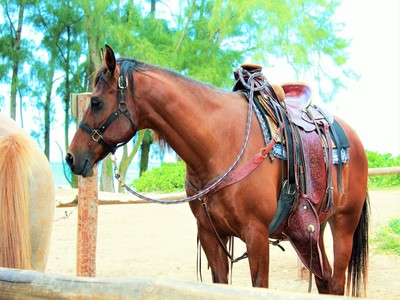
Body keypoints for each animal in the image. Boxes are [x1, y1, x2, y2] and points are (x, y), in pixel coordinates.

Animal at [65, 45, 368, 296]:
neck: (218, 145)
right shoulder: (211, 235)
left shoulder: (256, 235)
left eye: (96, 102)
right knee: (325, 280)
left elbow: (260, 285)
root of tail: (354, 137)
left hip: (344, 224)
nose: (71, 157)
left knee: (336, 282)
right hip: (310, 232)